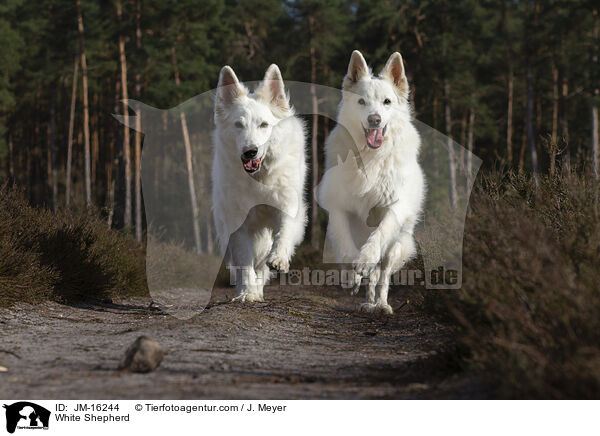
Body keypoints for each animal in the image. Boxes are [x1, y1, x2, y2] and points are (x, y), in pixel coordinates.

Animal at [212, 64, 308, 304]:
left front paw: (279, 258)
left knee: (264, 262)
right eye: (239, 125)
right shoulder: (239, 224)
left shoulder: (287, 206)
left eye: (264, 125)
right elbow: (245, 262)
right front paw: (248, 293)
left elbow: (284, 232)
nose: (250, 151)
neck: (259, 180)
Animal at [318, 51, 426, 314]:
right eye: (361, 102)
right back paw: (367, 301)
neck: (370, 156)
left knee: (383, 274)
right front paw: (352, 274)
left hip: (397, 246)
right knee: (371, 276)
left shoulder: (395, 207)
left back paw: (382, 304)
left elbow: (381, 232)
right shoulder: (338, 208)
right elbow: (346, 244)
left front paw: (366, 258)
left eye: (387, 102)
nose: (374, 119)